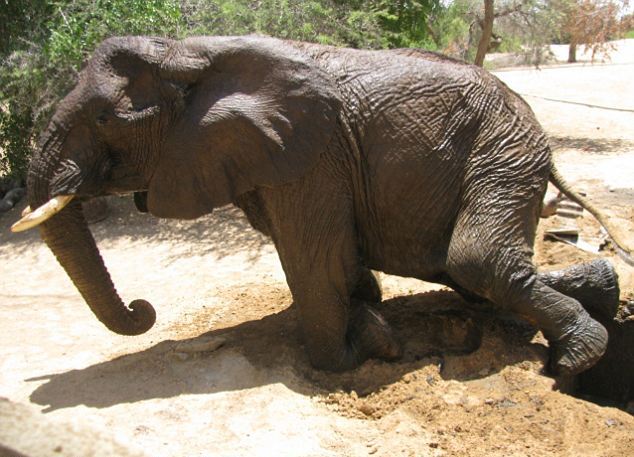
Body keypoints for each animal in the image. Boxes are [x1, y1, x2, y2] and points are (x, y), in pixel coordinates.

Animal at [11, 35, 628, 376]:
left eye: (104, 119)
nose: (143, 308)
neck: (190, 52)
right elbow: (333, 261)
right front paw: (372, 319)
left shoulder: (313, 155)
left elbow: (314, 263)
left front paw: (356, 352)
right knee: (463, 272)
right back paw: (604, 289)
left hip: (504, 150)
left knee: (475, 261)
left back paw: (579, 357)